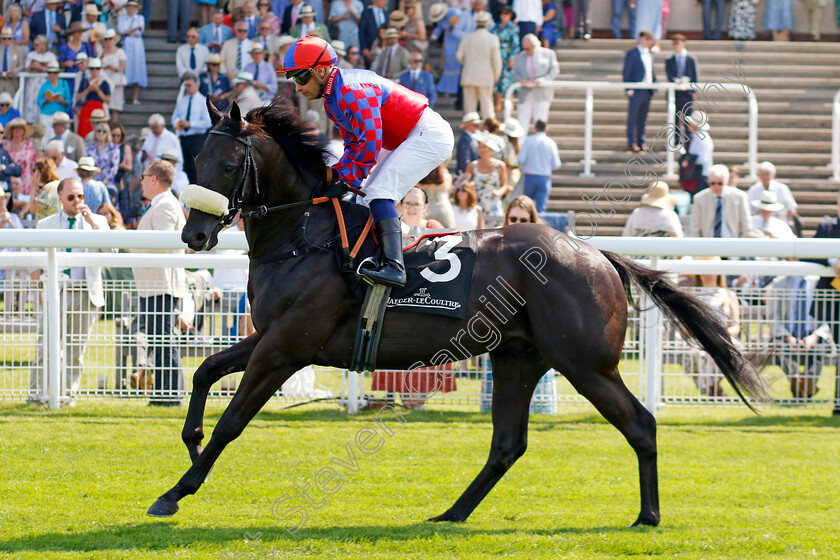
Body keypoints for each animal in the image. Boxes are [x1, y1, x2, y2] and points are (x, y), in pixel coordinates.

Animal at [146, 99, 768, 524]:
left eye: (231, 165)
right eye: (197, 157)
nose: (195, 235)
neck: (306, 236)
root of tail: (596, 254)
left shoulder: (288, 346)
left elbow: (233, 420)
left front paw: (175, 491)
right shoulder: (275, 336)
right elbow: (204, 373)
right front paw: (190, 441)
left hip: (586, 364)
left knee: (639, 423)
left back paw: (647, 516)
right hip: (519, 358)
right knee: (508, 444)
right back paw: (451, 513)